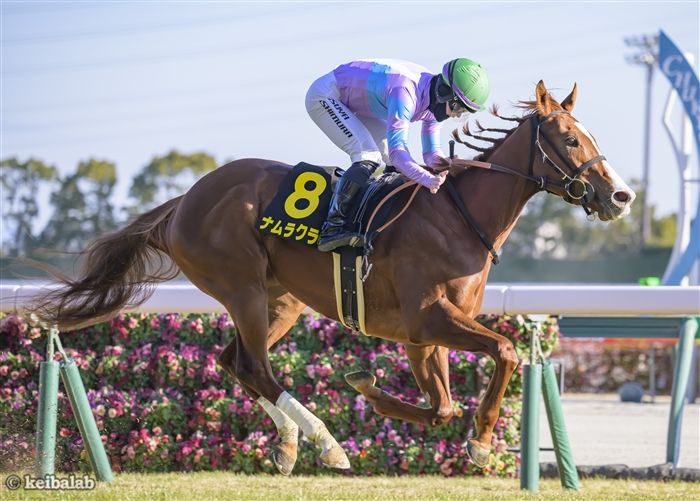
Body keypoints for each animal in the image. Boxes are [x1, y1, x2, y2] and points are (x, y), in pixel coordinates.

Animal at [33, 80, 635, 475]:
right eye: (570, 139)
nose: (621, 196)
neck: (457, 216)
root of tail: (183, 202)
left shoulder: (422, 335)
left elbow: (441, 406)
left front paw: (371, 390)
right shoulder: (429, 318)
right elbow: (506, 351)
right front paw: (483, 442)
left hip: (281, 300)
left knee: (234, 361)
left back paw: (289, 443)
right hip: (242, 287)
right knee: (253, 364)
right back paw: (325, 443)